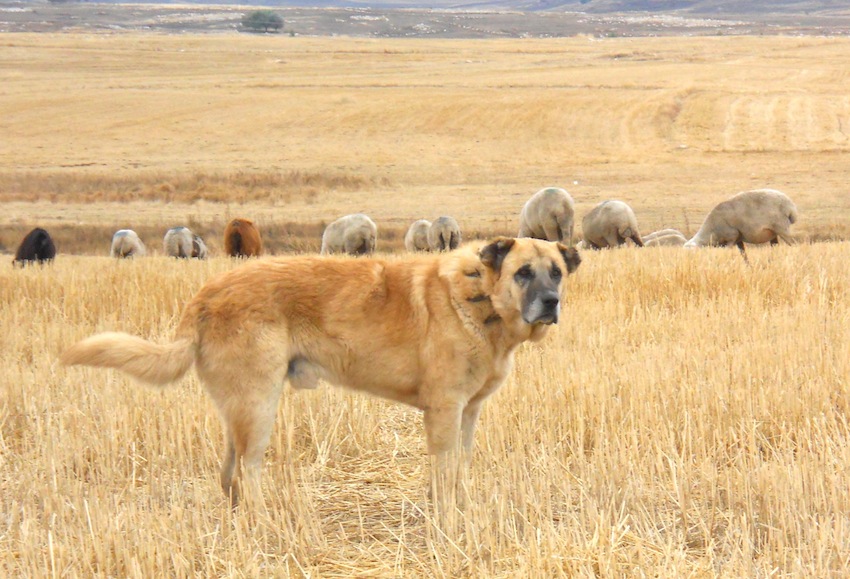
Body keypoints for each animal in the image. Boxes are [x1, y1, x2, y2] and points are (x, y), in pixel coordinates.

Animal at [59, 238, 580, 506]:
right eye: (523, 272)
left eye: (556, 272)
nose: (552, 303)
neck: (481, 299)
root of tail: (207, 293)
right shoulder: (444, 411)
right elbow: (444, 473)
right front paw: (445, 517)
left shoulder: (468, 412)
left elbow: (460, 470)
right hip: (259, 405)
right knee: (246, 471)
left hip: (238, 409)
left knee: (228, 474)